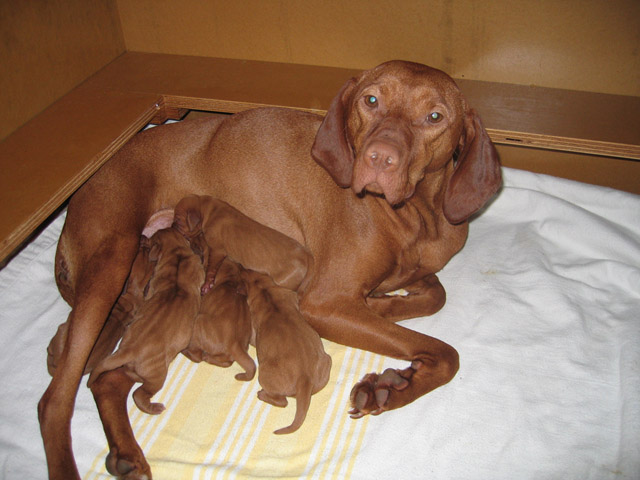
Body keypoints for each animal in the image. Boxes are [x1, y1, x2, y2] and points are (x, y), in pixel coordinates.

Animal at [87, 227, 205, 414]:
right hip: (156, 376)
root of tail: (128, 350)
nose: (144, 237)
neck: (176, 252)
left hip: (133, 368)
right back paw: (155, 408)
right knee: (138, 395)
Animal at [172, 194, 312, 292]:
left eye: (178, 220)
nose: (172, 225)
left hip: (283, 281)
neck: (206, 208)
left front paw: (207, 284)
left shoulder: (217, 250)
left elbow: (211, 268)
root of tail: (306, 254)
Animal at [242, 270, 332, 436]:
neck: (265, 292)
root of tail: (304, 378)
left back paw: (262, 394)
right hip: (326, 362)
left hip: (264, 376)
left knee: (282, 401)